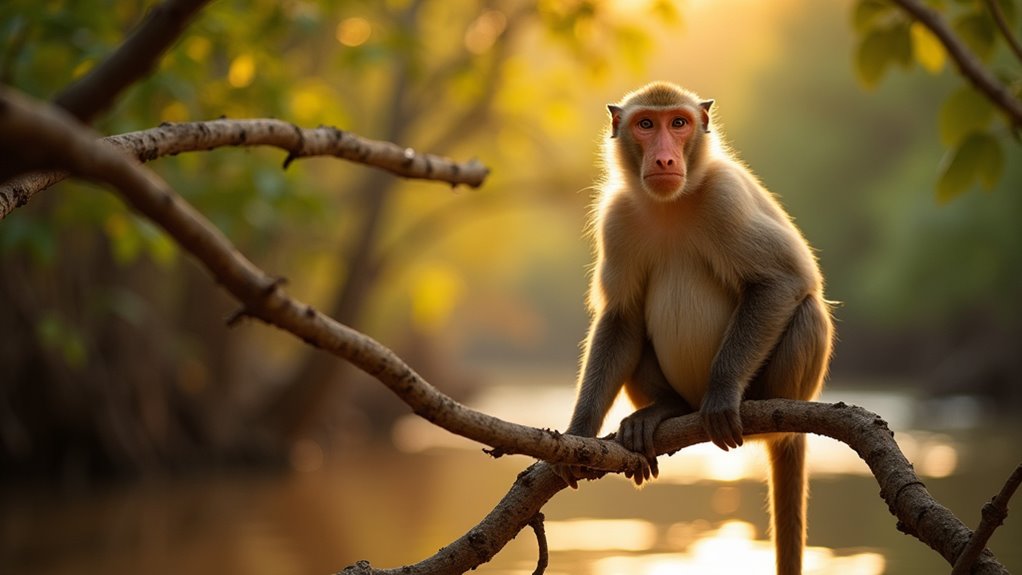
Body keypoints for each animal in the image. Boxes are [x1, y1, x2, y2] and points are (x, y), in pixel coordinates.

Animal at [553, 81, 834, 575]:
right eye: (647, 124)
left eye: (679, 124)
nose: (665, 157)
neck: (671, 204)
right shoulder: (617, 218)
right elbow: (621, 318)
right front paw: (580, 431)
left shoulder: (725, 196)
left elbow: (784, 279)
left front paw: (722, 391)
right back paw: (663, 408)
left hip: (790, 387)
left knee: (806, 309)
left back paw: (759, 401)